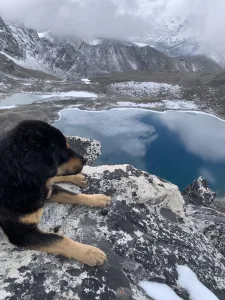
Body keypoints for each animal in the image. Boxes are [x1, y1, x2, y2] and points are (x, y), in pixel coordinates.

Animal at [0, 119, 110, 264]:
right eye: (63, 152)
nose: (85, 160)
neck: (20, 179)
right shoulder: (22, 233)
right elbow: (59, 239)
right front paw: (89, 252)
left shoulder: (48, 190)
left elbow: (74, 195)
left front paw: (97, 198)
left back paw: (78, 178)